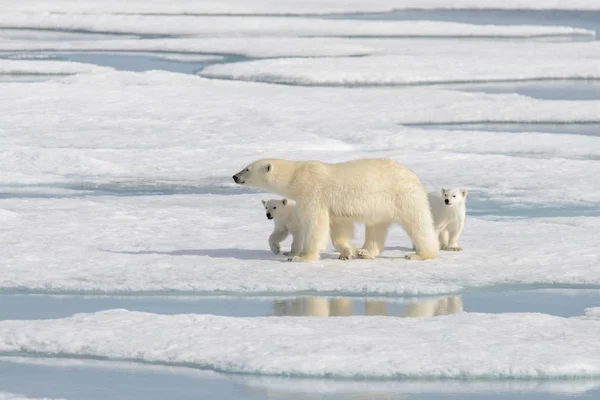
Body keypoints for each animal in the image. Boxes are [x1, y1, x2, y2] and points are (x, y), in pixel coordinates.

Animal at [232, 156, 438, 262]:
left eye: (247, 168)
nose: (234, 176)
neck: (296, 176)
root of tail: (412, 175)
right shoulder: (334, 207)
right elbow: (339, 226)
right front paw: (348, 252)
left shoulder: (312, 192)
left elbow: (316, 224)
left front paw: (300, 257)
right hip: (380, 205)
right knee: (376, 227)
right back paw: (365, 252)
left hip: (403, 196)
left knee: (417, 223)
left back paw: (420, 254)